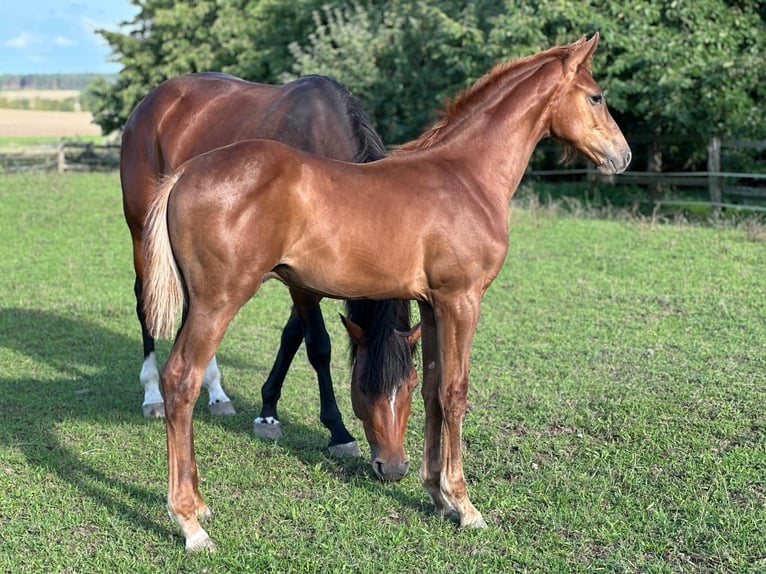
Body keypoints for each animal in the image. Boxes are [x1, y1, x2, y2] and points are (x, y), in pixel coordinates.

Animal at [120, 72, 420, 475]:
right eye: (363, 385)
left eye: (413, 384)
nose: (393, 468)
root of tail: (152, 101)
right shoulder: (302, 283)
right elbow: (318, 346)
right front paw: (338, 431)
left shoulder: (305, 273)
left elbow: (292, 335)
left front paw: (267, 410)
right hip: (143, 235)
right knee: (146, 305)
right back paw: (152, 393)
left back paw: (216, 392)